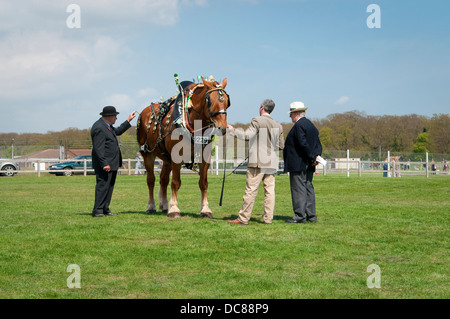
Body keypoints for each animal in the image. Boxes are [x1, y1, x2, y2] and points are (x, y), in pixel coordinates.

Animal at [136, 76, 229, 219]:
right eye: (209, 100)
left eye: (227, 101)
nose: (222, 127)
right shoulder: (176, 157)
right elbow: (176, 182)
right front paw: (174, 209)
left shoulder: (204, 158)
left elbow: (203, 183)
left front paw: (205, 209)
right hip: (148, 154)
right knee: (151, 180)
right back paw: (151, 207)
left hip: (167, 159)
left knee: (163, 180)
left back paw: (164, 206)